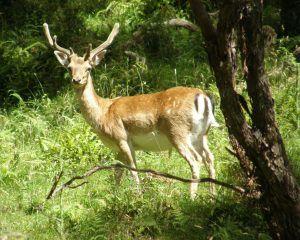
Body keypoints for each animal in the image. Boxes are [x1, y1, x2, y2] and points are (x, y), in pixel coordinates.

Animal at [42, 22, 218, 199]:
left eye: (89, 68)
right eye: (69, 68)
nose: (76, 80)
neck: (102, 114)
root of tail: (203, 97)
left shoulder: (121, 137)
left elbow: (132, 169)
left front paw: (138, 195)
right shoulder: (119, 147)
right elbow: (117, 172)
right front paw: (115, 196)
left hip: (177, 131)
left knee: (195, 160)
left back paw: (192, 197)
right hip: (202, 134)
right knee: (209, 157)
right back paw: (213, 195)